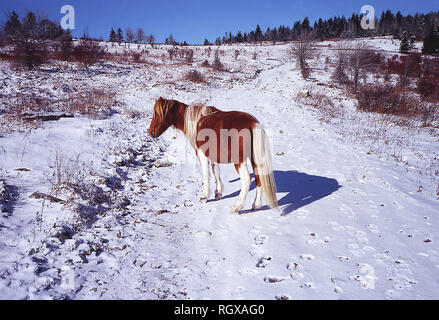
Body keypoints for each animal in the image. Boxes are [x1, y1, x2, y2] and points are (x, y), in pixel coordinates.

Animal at [149, 97, 278, 212]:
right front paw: (218, 193)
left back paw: (237, 207)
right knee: (259, 178)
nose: (151, 133)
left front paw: (204, 196)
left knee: (246, 179)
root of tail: (252, 123)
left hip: (240, 161)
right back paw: (256, 205)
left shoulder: (202, 155)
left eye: (158, 114)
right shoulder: (212, 155)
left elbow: (206, 174)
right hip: (255, 159)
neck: (198, 121)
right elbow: (216, 171)